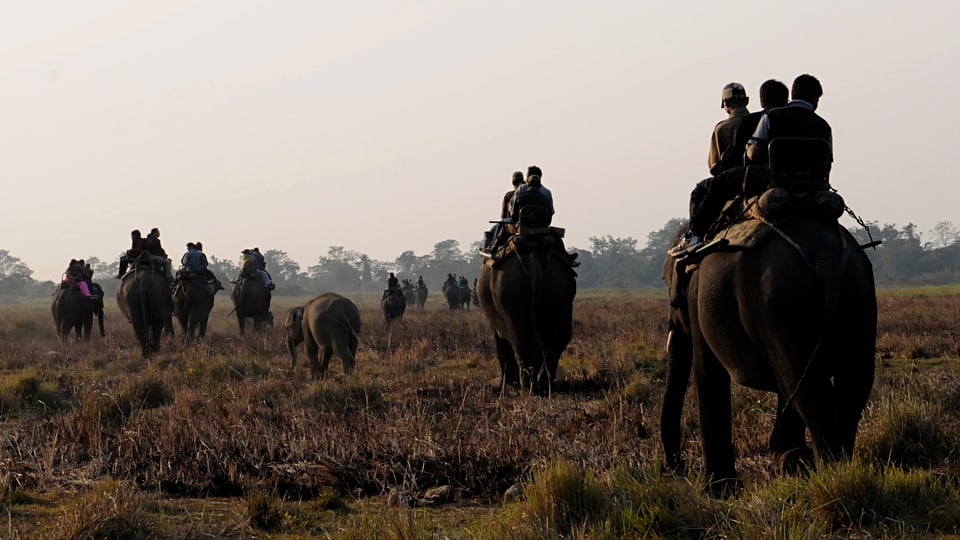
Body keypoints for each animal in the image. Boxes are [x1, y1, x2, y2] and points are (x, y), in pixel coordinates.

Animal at [474, 230, 572, 394]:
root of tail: (534, 261)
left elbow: (500, 342)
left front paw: (506, 385)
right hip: (561, 290)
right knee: (560, 339)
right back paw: (544, 386)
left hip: (509, 293)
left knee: (520, 341)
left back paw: (526, 389)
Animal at [660, 211, 876, 494]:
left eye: (668, 286)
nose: (677, 466)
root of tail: (825, 255)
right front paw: (788, 459)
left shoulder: (698, 302)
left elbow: (707, 372)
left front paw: (718, 490)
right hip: (859, 295)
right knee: (853, 384)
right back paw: (826, 465)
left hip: (781, 303)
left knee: (806, 386)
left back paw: (832, 476)